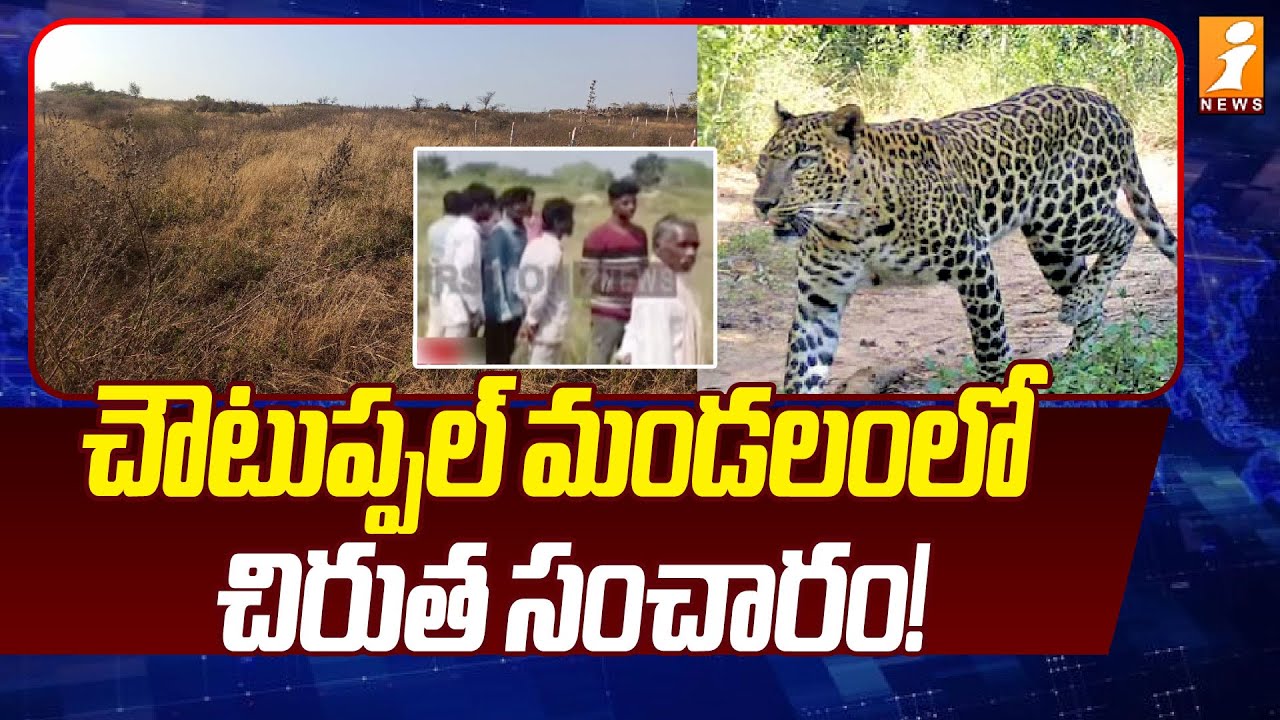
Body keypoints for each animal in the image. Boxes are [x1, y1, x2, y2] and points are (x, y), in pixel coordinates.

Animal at [751, 84, 1178, 394]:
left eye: (804, 162)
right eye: (762, 163)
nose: (761, 204)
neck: (850, 226)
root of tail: (1107, 104)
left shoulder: (972, 261)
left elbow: (990, 344)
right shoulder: (819, 299)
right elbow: (802, 368)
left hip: (1063, 214)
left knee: (1124, 229)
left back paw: (1080, 306)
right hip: (1051, 246)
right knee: (1090, 298)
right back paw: (1078, 350)